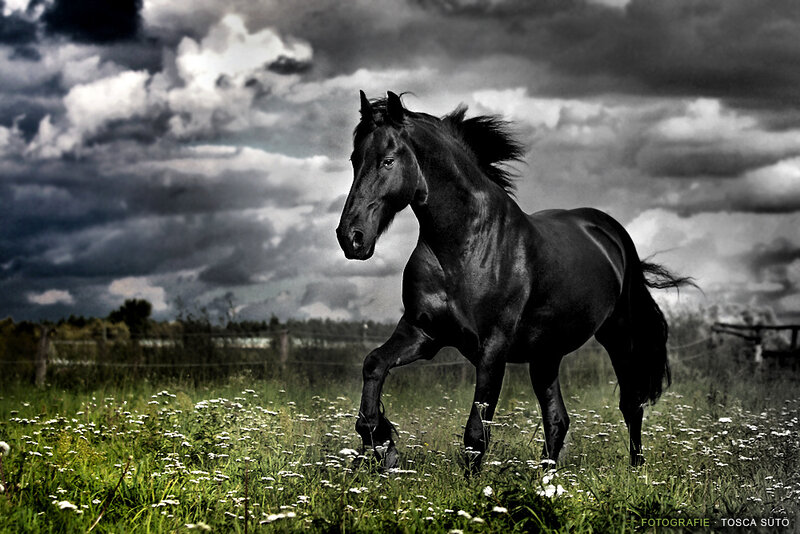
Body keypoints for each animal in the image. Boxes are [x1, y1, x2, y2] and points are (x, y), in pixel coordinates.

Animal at [336, 91, 693, 472]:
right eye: (355, 159)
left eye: (388, 160)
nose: (351, 238)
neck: (464, 246)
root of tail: (610, 231)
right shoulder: (422, 333)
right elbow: (373, 365)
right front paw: (383, 444)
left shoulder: (493, 348)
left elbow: (476, 433)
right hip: (546, 355)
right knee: (557, 419)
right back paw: (547, 478)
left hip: (619, 336)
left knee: (631, 405)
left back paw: (635, 470)